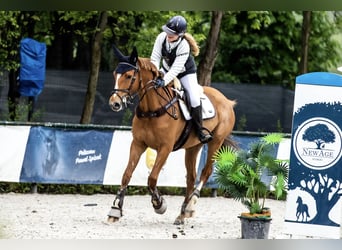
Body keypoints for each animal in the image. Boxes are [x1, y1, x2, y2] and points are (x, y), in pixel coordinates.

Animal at [108, 46, 236, 225]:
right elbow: (126, 175)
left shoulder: (165, 148)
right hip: (193, 147)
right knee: (191, 177)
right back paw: (183, 213)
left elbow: (152, 178)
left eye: (128, 76)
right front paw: (115, 210)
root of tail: (227, 101)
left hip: (215, 142)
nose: (114, 103)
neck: (152, 110)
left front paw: (159, 204)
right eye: (115, 74)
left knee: (206, 172)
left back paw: (191, 205)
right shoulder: (138, 144)